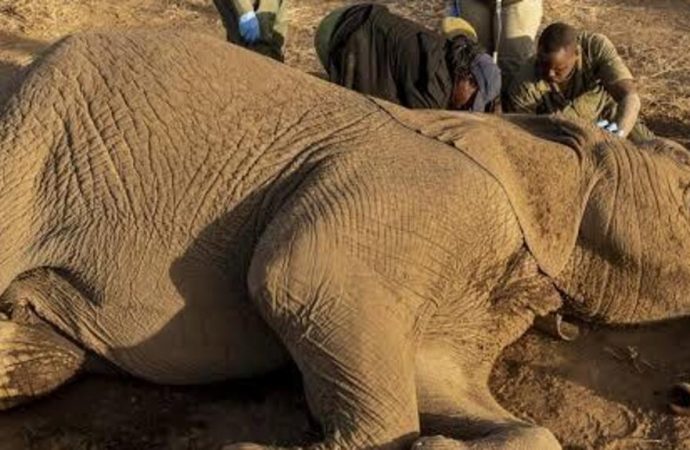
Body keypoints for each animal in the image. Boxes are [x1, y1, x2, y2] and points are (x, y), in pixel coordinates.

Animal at [0, 28, 689, 450]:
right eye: (686, 180)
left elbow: (436, 377)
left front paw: (439, 440)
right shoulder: (438, 194)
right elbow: (295, 276)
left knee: (50, 353)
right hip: (28, 138)